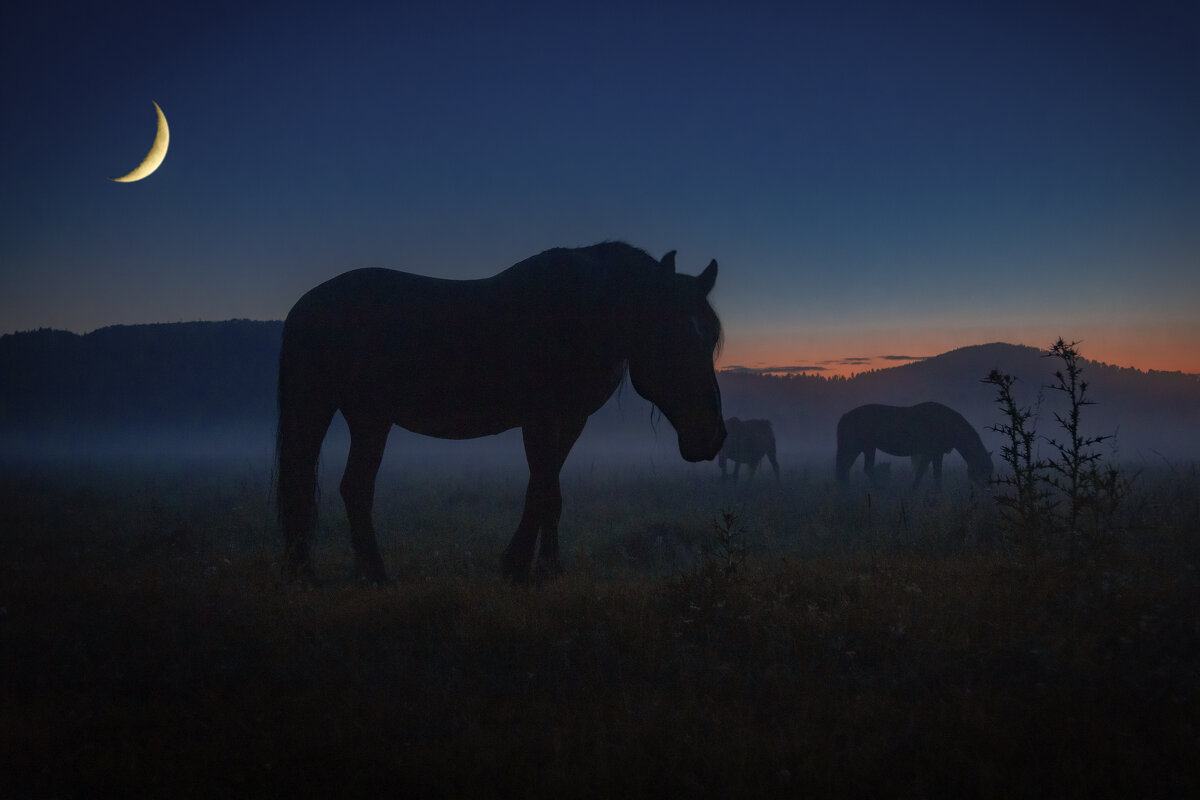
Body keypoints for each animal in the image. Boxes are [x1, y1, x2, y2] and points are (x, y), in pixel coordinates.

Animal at [274, 241, 720, 585]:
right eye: (672, 336)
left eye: (712, 337)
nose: (711, 437)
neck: (578, 314)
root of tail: (304, 307)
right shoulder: (540, 417)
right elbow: (546, 492)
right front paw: (532, 570)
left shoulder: (570, 421)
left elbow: (544, 491)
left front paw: (533, 567)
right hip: (318, 411)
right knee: (309, 482)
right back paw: (319, 574)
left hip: (370, 418)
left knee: (355, 488)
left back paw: (368, 573)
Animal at [835, 400, 993, 489]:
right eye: (984, 468)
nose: (987, 488)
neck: (949, 425)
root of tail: (845, 416)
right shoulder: (930, 452)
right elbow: (924, 472)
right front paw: (916, 490)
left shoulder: (936, 453)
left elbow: (933, 473)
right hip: (855, 447)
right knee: (847, 469)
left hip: (867, 447)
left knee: (856, 468)